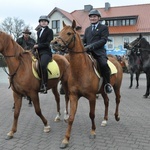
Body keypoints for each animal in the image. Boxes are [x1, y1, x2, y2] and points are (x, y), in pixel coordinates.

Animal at [51, 20, 122, 149]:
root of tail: (116, 60)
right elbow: (71, 118)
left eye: (69, 33)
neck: (80, 70)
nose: (54, 43)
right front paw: (65, 139)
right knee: (107, 101)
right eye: (60, 32)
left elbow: (91, 114)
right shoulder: (74, 96)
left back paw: (116, 116)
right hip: (103, 91)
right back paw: (105, 120)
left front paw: (93, 132)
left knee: (118, 99)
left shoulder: (92, 97)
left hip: (116, 86)